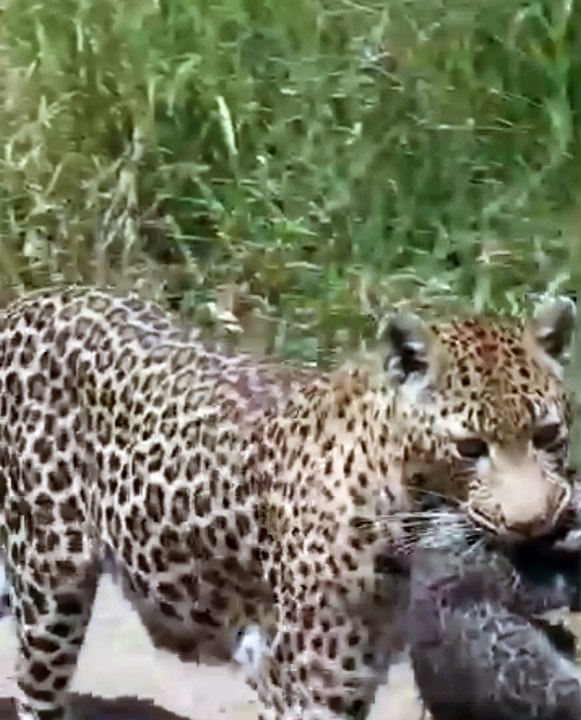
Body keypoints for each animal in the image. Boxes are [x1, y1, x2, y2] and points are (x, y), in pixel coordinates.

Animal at [0, 284, 576, 720]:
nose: (536, 523)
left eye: (548, 435)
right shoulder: (310, 681)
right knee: (35, 692)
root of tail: (30, 301)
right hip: (52, 578)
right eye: (469, 448)